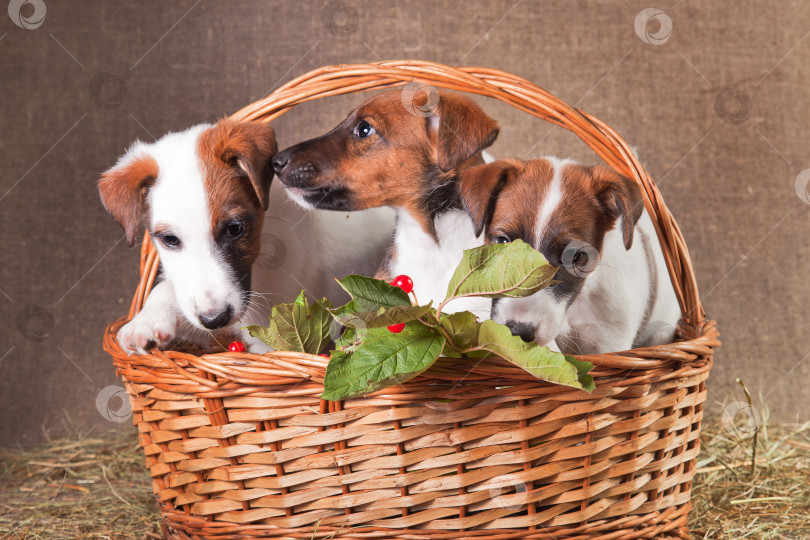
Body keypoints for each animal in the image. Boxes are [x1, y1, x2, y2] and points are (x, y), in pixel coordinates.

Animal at [98, 118, 394, 354]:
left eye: (235, 228)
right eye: (170, 239)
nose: (215, 320)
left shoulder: (270, 344)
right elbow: (169, 287)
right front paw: (145, 321)